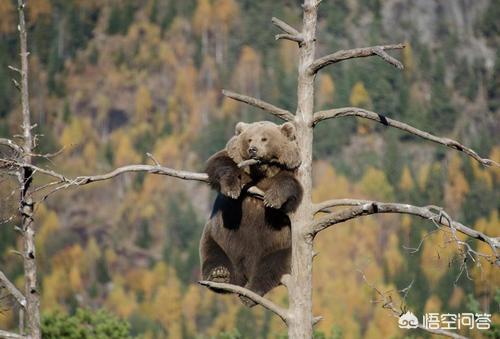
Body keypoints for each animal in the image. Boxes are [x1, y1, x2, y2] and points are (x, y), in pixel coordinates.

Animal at [198, 121, 300, 306]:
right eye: (249, 138)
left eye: (265, 138)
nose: (253, 149)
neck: (261, 170)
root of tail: (243, 274)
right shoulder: (234, 161)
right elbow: (219, 163)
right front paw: (231, 188)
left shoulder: (289, 172)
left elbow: (289, 185)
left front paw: (272, 199)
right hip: (217, 239)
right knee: (214, 255)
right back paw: (219, 275)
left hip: (282, 247)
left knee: (270, 267)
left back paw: (250, 293)